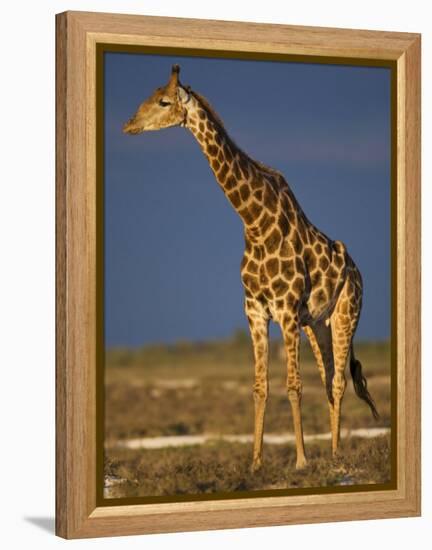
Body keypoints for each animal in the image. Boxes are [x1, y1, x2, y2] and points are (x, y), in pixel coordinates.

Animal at [122, 63, 378, 470]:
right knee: (328, 379)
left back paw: (336, 456)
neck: (254, 221)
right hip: (316, 324)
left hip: (346, 314)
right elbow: (260, 387)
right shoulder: (255, 309)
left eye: (163, 101)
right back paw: (334, 451)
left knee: (338, 381)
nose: (128, 125)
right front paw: (255, 462)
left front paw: (301, 460)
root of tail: (356, 271)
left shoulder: (286, 310)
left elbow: (293, 385)